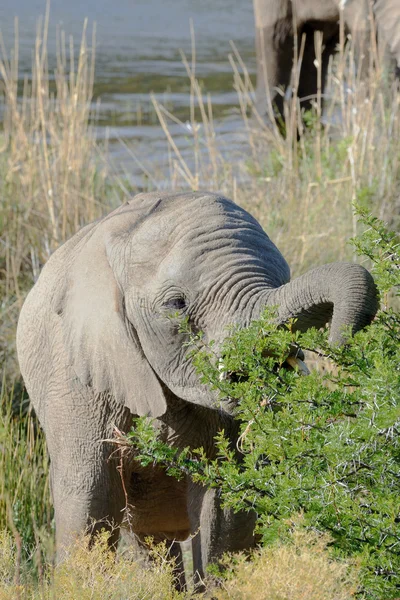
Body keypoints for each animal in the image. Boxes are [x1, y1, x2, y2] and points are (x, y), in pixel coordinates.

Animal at [15, 192, 378, 592]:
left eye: (282, 279)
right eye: (177, 304)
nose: (338, 345)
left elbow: (226, 501)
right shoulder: (72, 375)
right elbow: (89, 500)